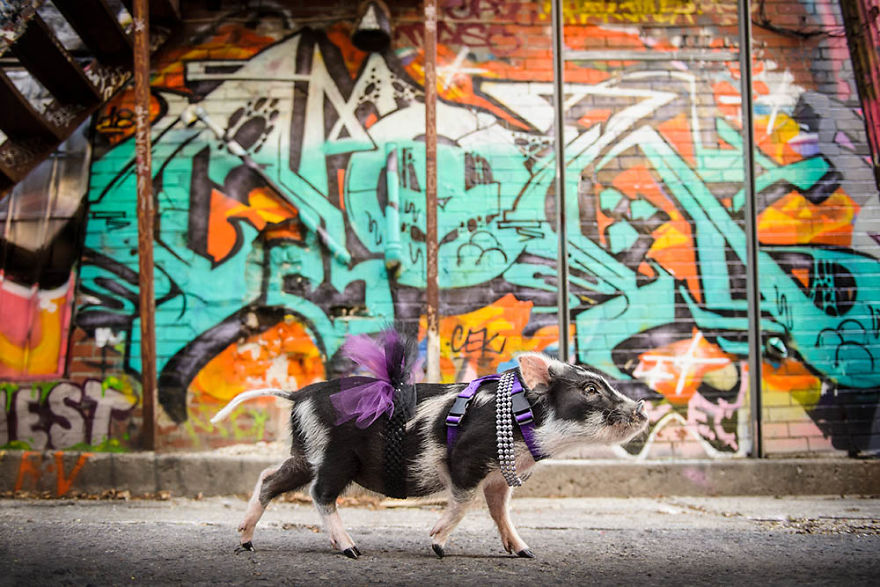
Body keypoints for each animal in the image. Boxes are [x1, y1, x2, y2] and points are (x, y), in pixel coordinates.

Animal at [211, 330, 648, 559]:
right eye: (589, 389)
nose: (642, 409)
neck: (521, 421)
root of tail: (300, 393)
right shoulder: (466, 461)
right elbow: (462, 504)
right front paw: (437, 546)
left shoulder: (498, 476)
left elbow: (500, 512)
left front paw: (524, 552)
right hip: (335, 457)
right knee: (320, 494)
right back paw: (351, 550)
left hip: (306, 452)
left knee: (269, 478)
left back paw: (246, 542)